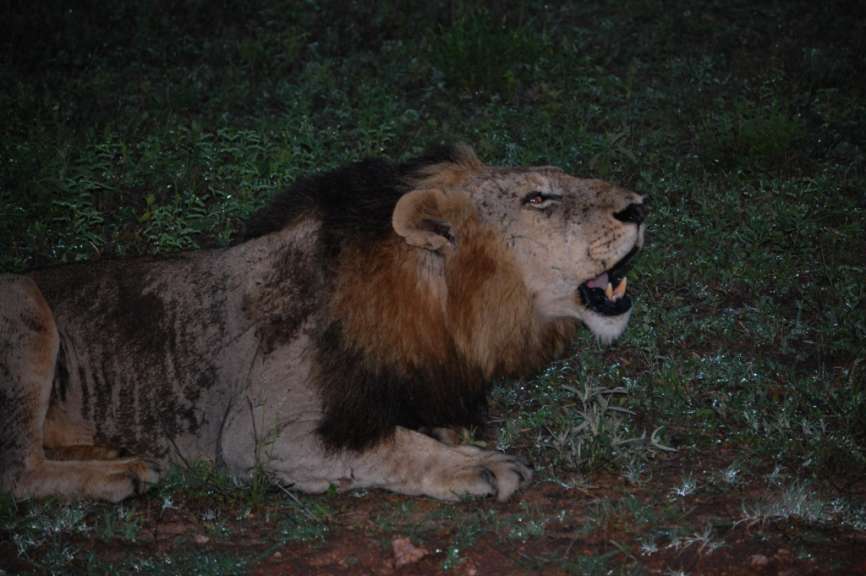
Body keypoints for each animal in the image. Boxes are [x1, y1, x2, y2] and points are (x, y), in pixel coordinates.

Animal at [0, 144, 646, 502]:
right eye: (538, 198)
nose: (640, 206)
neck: (449, 309)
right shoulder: (256, 434)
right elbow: (388, 445)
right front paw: (481, 466)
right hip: (25, 304)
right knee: (16, 471)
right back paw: (121, 476)